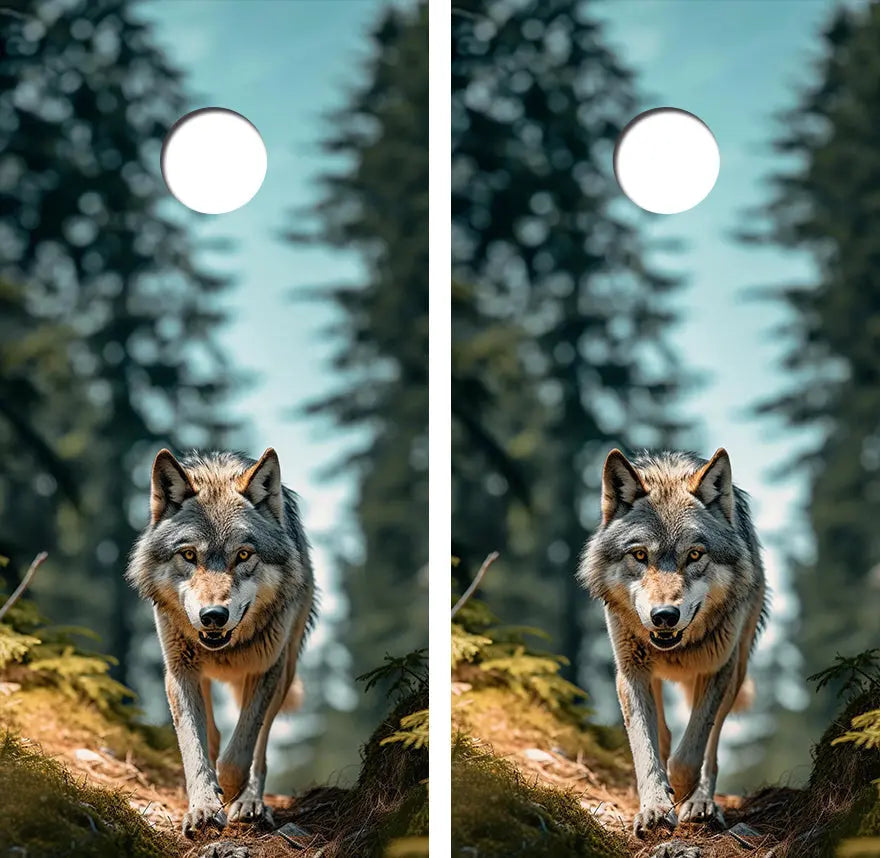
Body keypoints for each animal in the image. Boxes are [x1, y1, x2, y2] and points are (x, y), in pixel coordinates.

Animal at [126, 448, 315, 836]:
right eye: (188, 555)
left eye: (243, 555)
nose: (213, 615)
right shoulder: (179, 673)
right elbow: (194, 747)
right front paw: (203, 806)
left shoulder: (266, 670)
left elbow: (240, 754)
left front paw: (228, 796)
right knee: (212, 735)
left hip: (285, 672)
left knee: (260, 747)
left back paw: (250, 802)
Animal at [579, 448, 767, 837]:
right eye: (639, 555)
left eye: (694, 555)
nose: (664, 615)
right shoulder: (630, 674)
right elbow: (645, 747)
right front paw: (654, 806)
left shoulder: (717, 670)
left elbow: (689, 755)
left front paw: (681, 797)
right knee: (664, 735)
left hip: (736, 672)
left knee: (711, 748)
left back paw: (701, 802)